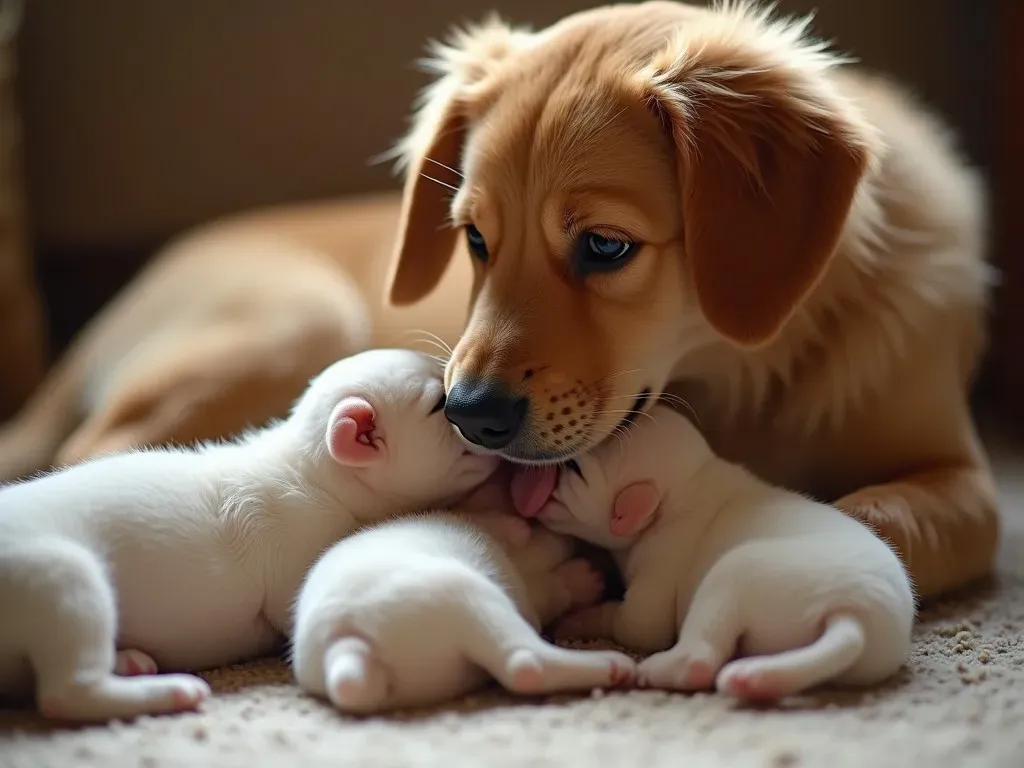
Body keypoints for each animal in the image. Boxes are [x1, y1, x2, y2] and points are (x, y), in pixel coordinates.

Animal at [0, 1, 991, 602]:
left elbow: (868, 515)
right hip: (295, 323)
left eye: (605, 246)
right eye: (474, 239)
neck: (750, 367)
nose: (470, 415)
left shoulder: (964, 483)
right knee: (89, 458)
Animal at [0, 352, 497, 724]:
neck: (315, 471)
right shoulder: (298, 549)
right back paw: (166, 692)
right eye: (437, 404)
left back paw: (129, 661)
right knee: (68, 692)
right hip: (61, 579)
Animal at [292, 505, 634, 716]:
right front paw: (581, 578)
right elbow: (552, 586)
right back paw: (610, 665)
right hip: (468, 596)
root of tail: (346, 642)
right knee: (525, 664)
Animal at [516, 405, 917, 700]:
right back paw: (755, 680)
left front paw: (580, 619)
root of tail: (853, 614)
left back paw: (659, 669)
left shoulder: (658, 565)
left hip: (734, 573)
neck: (687, 484)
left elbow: (636, 623)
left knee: (699, 658)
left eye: (575, 468)